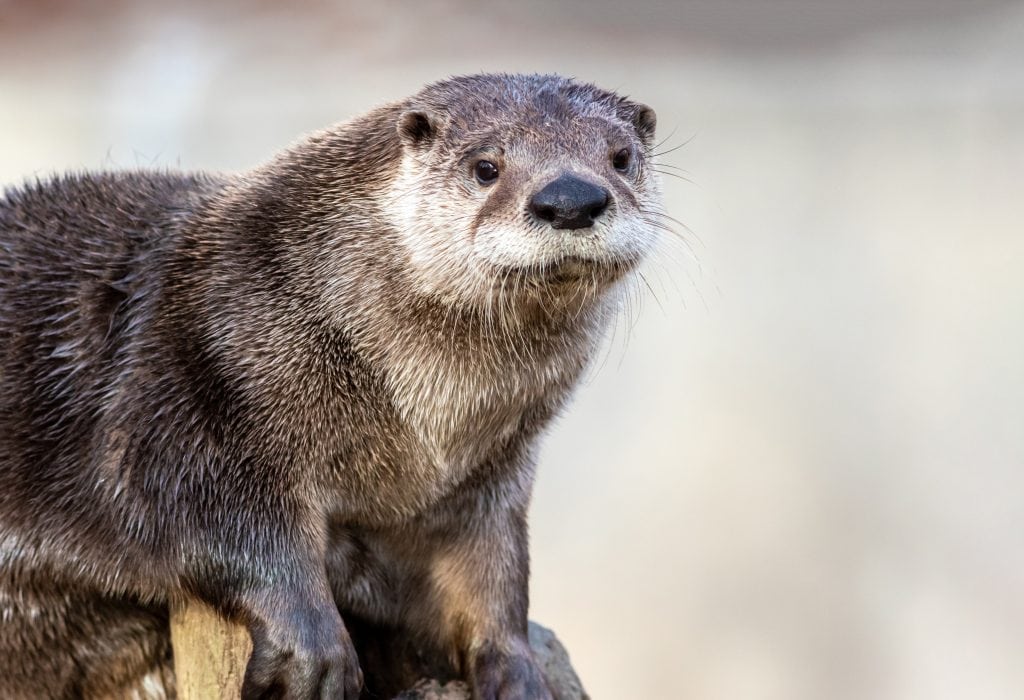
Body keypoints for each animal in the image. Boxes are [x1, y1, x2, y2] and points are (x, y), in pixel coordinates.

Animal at [0, 73, 661, 699]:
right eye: (485, 167)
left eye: (621, 157)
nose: (571, 198)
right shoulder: (181, 387)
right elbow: (193, 508)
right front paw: (313, 646)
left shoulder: (488, 474)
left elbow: (492, 568)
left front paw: (517, 668)